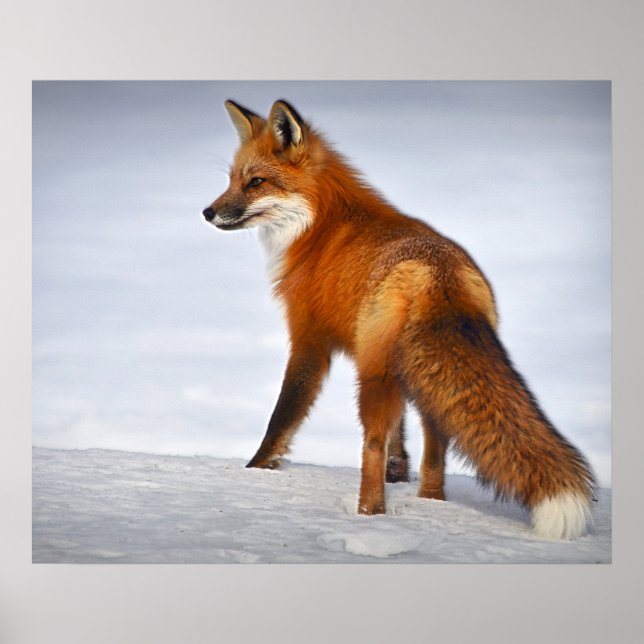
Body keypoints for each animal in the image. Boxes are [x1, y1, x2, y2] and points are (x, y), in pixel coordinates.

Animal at [202, 99, 596, 540]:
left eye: (256, 182)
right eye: (232, 180)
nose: (207, 212)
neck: (320, 227)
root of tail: (438, 273)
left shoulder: (309, 339)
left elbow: (283, 416)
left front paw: (255, 470)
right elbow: (400, 438)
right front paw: (399, 472)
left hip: (374, 376)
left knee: (370, 445)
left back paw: (368, 515)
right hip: (419, 377)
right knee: (436, 451)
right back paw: (430, 503)